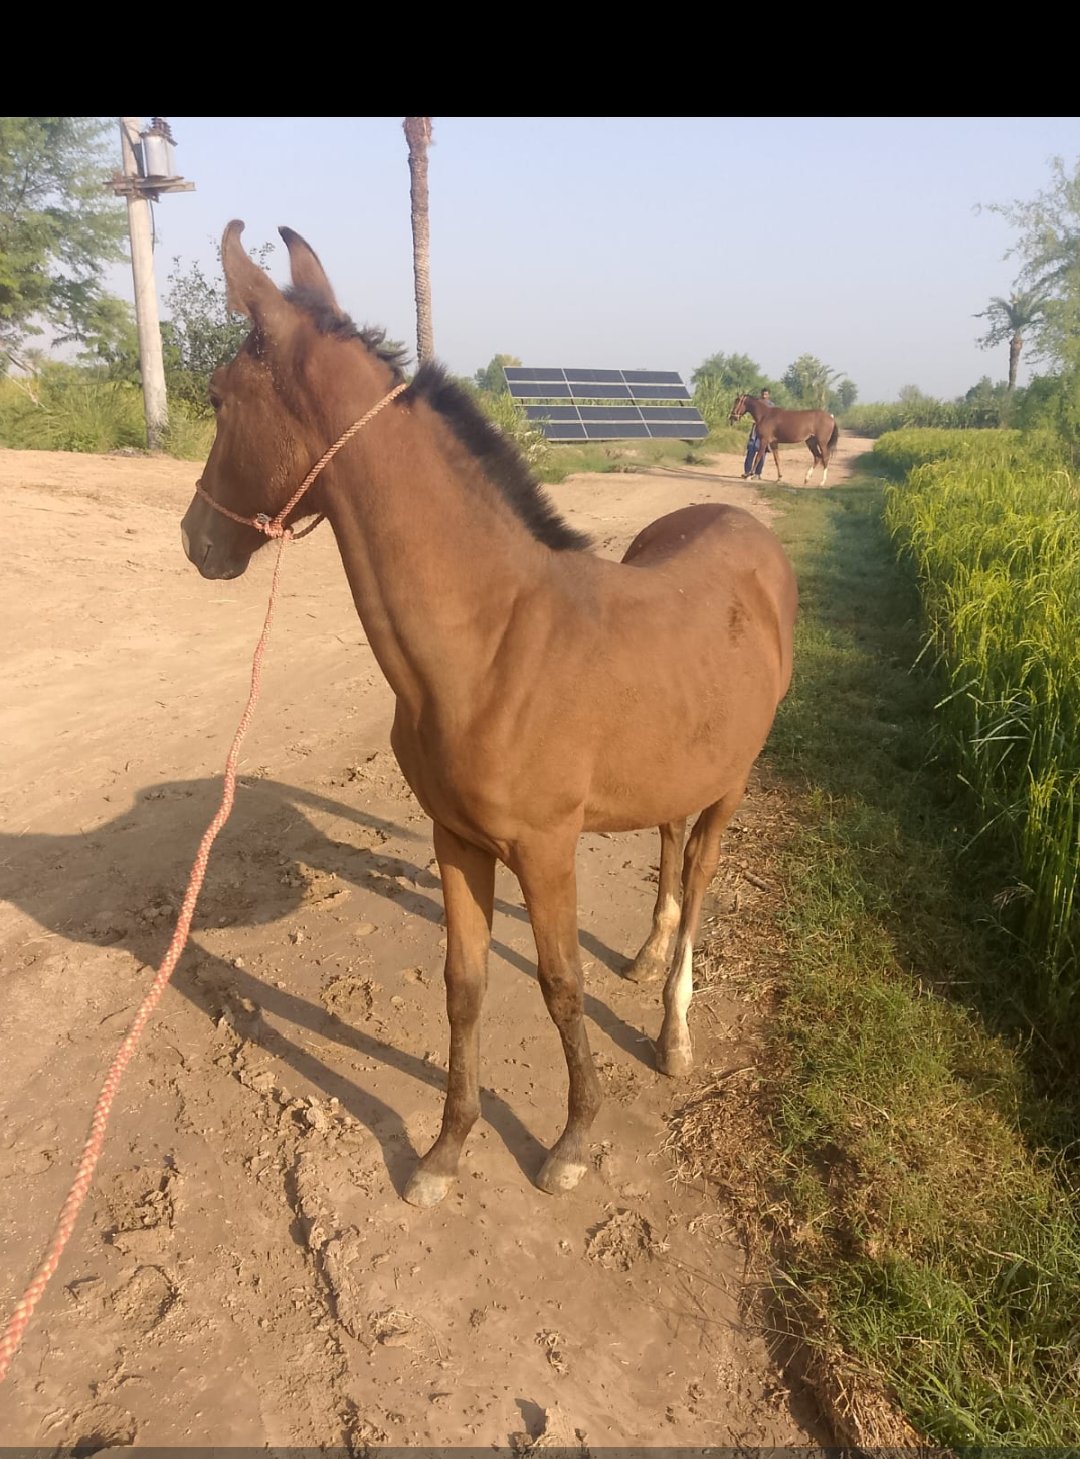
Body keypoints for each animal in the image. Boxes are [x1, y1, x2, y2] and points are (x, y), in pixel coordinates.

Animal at [180, 222, 798, 1209]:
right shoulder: (456, 839)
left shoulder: (544, 848)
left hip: (731, 783)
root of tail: (747, 532)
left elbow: (560, 984)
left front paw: (573, 1141)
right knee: (668, 849)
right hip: (680, 767)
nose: (197, 541)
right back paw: (647, 954)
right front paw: (444, 1148)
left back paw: (673, 1029)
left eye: (218, 396)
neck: (491, 645)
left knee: (700, 877)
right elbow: (462, 984)